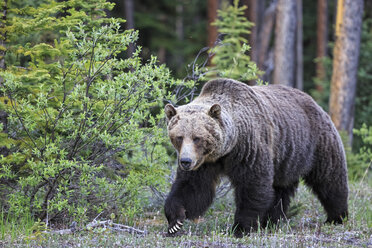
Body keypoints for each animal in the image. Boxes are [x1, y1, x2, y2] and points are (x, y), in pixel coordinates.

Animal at [163, 78, 348, 237]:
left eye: (197, 138)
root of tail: (315, 103)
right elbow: (193, 187)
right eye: (179, 137)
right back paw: (271, 221)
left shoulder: (248, 148)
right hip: (287, 158)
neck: (226, 149)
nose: (185, 162)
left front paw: (241, 227)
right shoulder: (204, 162)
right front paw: (175, 221)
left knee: (329, 179)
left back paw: (337, 217)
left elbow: (252, 185)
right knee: (280, 189)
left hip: (316, 143)